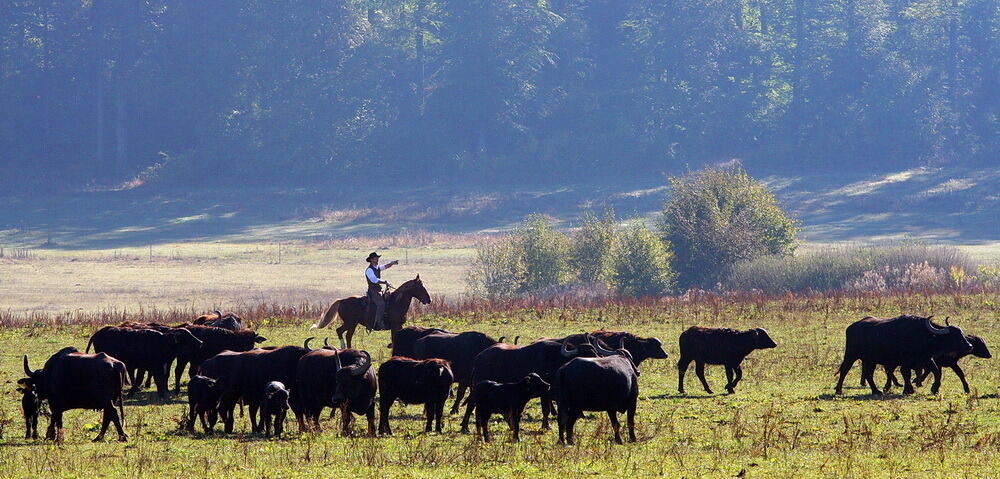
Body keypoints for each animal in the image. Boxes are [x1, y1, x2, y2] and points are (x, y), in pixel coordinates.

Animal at [832, 314, 972, 396]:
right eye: (953, 336)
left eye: (962, 333)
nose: (969, 346)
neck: (925, 336)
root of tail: (852, 326)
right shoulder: (906, 361)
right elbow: (906, 374)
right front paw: (908, 390)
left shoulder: (926, 359)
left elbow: (937, 372)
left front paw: (934, 389)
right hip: (851, 355)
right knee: (845, 370)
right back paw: (839, 390)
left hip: (870, 360)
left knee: (868, 374)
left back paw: (876, 390)